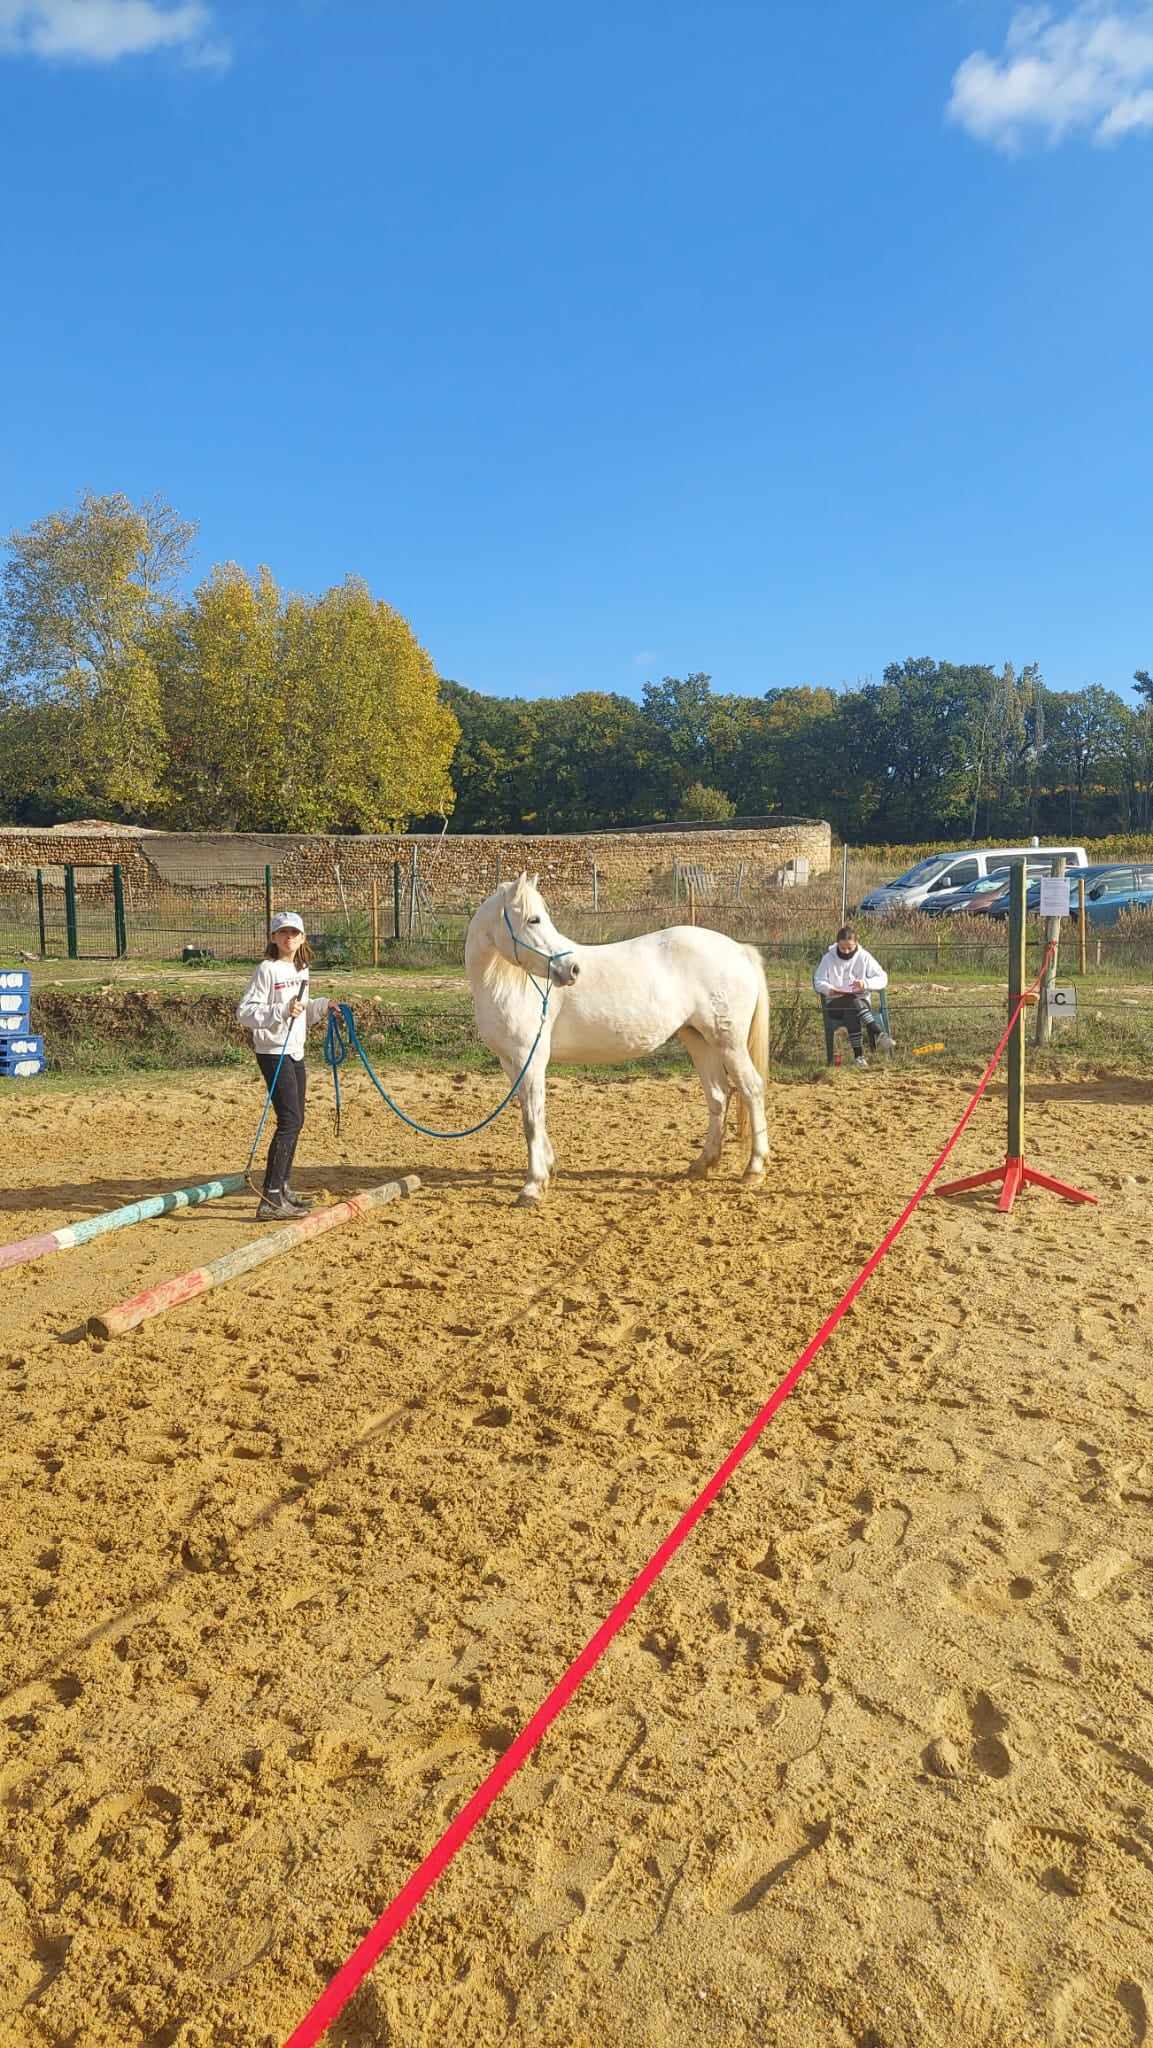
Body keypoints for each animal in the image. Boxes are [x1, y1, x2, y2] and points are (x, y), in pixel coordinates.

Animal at [464, 876, 770, 1196]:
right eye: (533, 920)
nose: (572, 970)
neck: (506, 984)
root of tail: (740, 951)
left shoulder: (531, 1058)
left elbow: (533, 1118)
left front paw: (533, 1185)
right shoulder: (511, 1062)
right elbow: (528, 1110)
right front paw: (548, 1168)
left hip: (730, 1043)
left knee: (751, 1089)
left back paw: (754, 1168)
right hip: (699, 1039)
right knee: (718, 1096)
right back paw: (702, 1164)